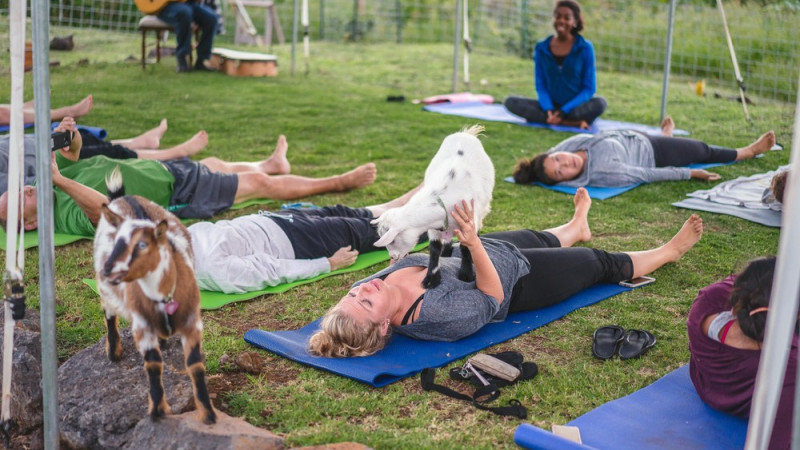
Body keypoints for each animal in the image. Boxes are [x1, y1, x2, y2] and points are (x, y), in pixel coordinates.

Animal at [93, 168, 216, 426]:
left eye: (142, 245)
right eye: (116, 242)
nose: (108, 269)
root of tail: (123, 197)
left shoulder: (192, 322)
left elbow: (195, 364)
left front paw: (208, 413)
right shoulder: (142, 325)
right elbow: (153, 363)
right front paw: (158, 411)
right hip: (106, 293)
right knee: (109, 314)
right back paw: (114, 352)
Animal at [374, 125, 494, 286]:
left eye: (392, 240)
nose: (393, 257)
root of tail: (466, 134)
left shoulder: (469, 219)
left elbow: (466, 246)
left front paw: (466, 274)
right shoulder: (434, 227)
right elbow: (434, 248)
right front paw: (432, 278)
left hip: (483, 206)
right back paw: (447, 252)